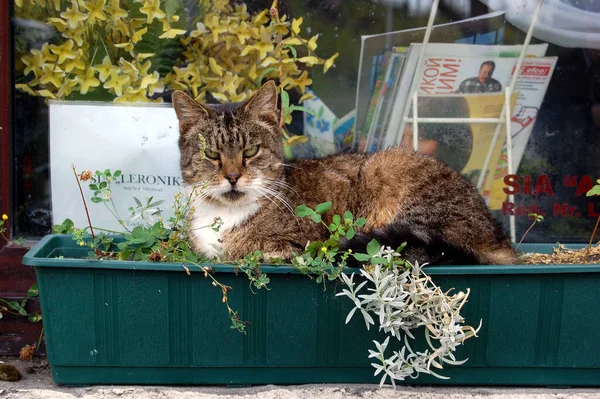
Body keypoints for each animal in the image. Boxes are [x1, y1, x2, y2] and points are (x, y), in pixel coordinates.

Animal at [171, 81, 516, 266]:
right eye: (211, 154)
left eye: (250, 152)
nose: (232, 177)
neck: (225, 216)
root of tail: (500, 238)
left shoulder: (297, 244)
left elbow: (253, 252)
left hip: (392, 174)